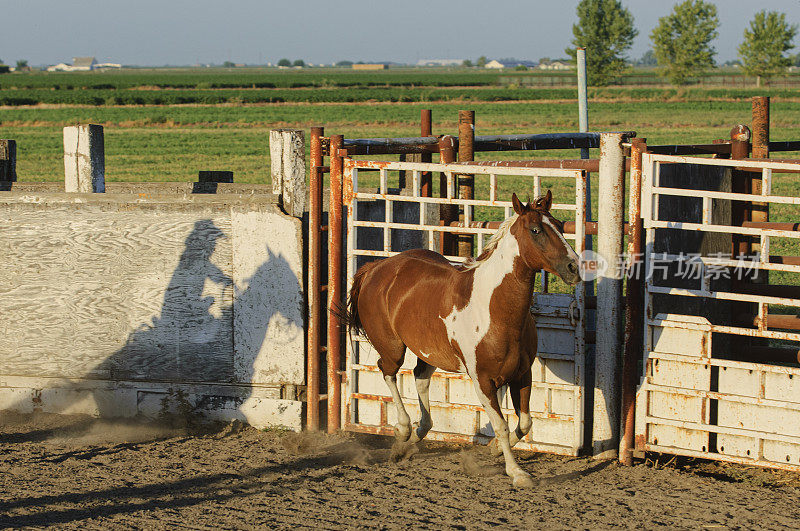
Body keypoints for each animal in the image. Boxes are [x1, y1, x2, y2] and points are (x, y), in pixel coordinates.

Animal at [340, 191, 580, 486]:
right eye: (535, 230)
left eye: (558, 224)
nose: (573, 267)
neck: (495, 309)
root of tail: (376, 267)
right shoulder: (483, 381)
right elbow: (500, 425)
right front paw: (517, 473)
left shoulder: (523, 374)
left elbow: (525, 422)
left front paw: (495, 450)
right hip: (393, 348)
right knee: (388, 372)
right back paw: (402, 432)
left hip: (429, 351)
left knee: (420, 377)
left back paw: (416, 436)